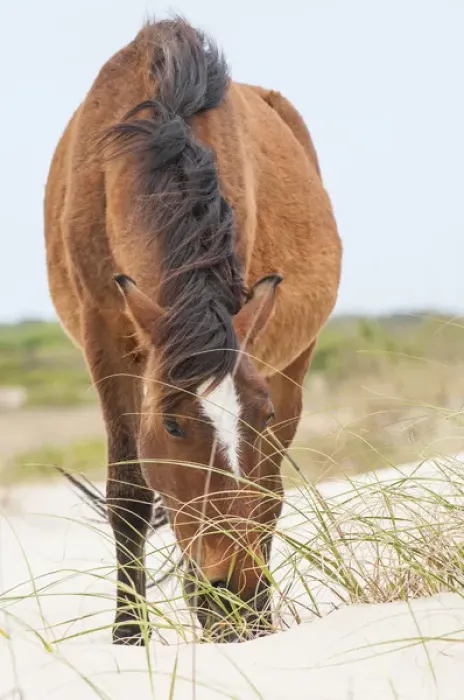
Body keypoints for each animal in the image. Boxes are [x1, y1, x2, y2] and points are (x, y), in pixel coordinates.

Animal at [44, 17, 342, 645]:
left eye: (262, 415)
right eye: (174, 425)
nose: (236, 590)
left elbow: (257, 494)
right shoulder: (105, 335)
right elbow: (130, 495)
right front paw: (128, 638)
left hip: (294, 364)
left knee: (270, 492)